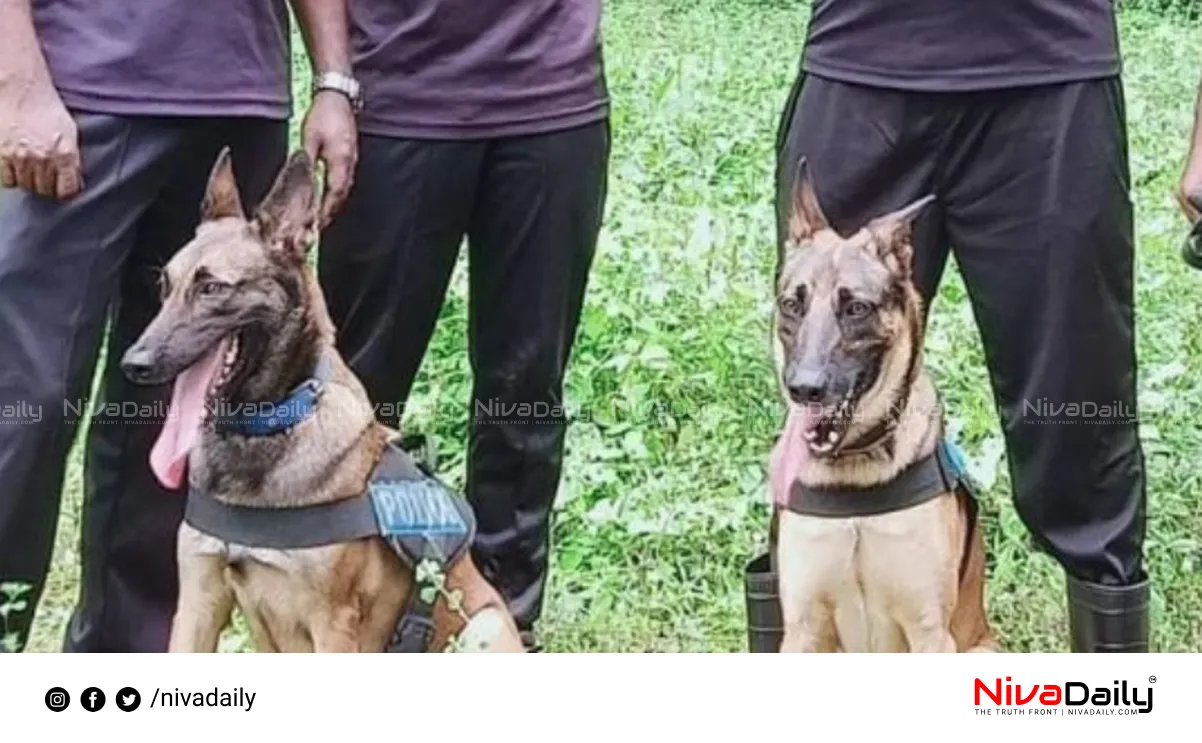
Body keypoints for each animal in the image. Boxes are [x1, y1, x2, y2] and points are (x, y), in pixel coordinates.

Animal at [122, 150, 526, 649]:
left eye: (212, 287)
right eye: (165, 287)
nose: (133, 364)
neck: (268, 426)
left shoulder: (332, 622)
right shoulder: (199, 602)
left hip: (482, 627)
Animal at [769, 158, 995, 649]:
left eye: (856, 308)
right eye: (792, 305)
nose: (804, 389)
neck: (855, 477)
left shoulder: (931, 633)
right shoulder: (801, 631)